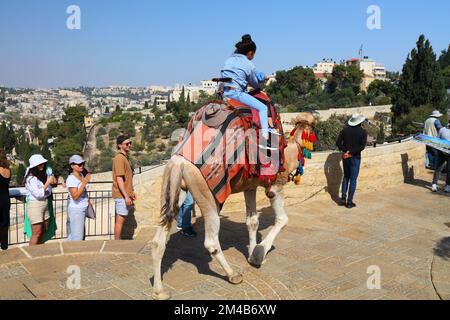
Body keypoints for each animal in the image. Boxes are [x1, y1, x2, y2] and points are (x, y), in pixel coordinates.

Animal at [150, 111, 316, 298]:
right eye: (313, 127)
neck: (290, 151)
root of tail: (179, 162)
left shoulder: (250, 187)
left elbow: (252, 222)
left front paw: (251, 255)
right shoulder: (275, 186)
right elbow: (282, 219)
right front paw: (259, 254)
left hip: (173, 189)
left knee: (158, 240)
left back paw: (159, 291)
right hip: (207, 194)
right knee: (210, 241)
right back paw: (233, 274)